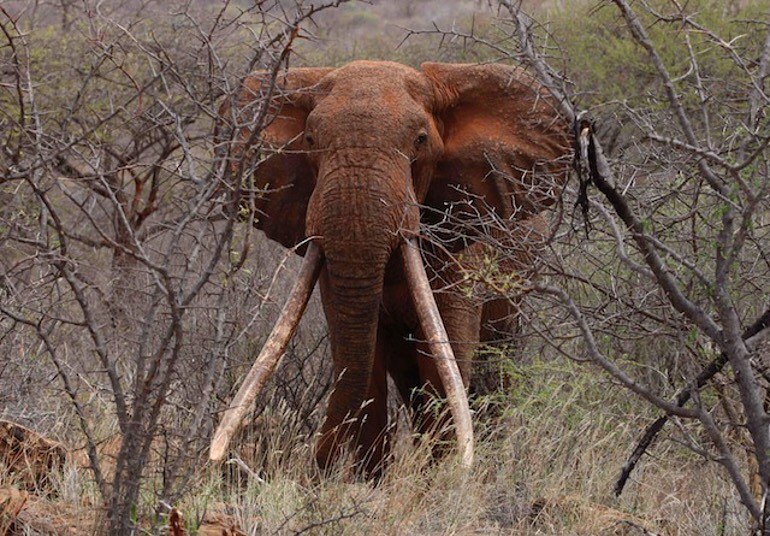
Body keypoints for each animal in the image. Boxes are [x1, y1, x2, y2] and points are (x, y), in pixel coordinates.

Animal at [209, 60, 570, 476]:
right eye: (310, 139)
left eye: (420, 140)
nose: (312, 473)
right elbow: (360, 359)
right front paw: (369, 483)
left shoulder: (462, 246)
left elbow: (445, 362)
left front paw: (444, 480)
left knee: (494, 368)